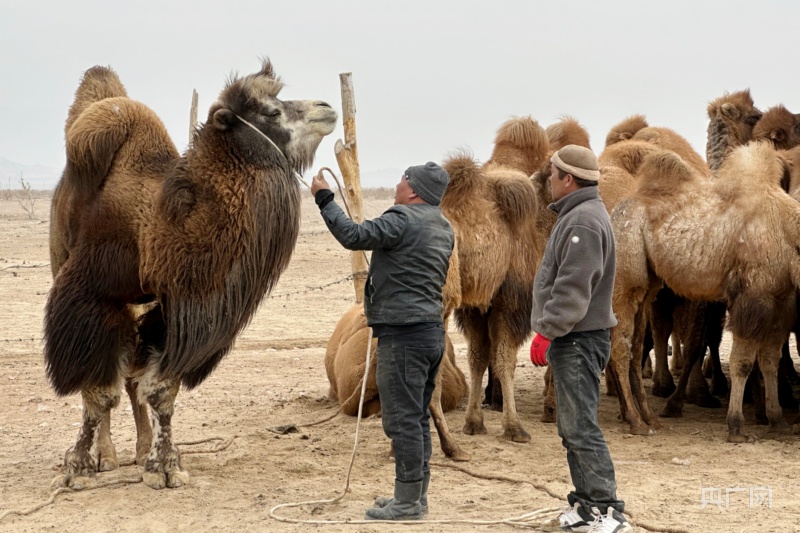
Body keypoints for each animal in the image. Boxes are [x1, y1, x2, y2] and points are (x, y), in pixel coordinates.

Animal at [44, 60, 338, 488]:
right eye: (271, 111)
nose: (326, 109)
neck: (164, 225)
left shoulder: (180, 306)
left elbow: (160, 390)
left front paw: (164, 465)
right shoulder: (92, 293)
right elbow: (98, 392)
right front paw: (77, 467)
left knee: (131, 377)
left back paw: (139, 449)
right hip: (63, 260)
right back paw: (107, 455)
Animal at [608, 142, 796, 440]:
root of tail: (615, 213)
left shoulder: (783, 300)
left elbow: (769, 358)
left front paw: (777, 421)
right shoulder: (753, 297)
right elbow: (743, 361)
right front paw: (737, 426)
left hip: (649, 284)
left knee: (636, 344)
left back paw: (648, 417)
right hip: (625, 272)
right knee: (621, 345)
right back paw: (637, 421)